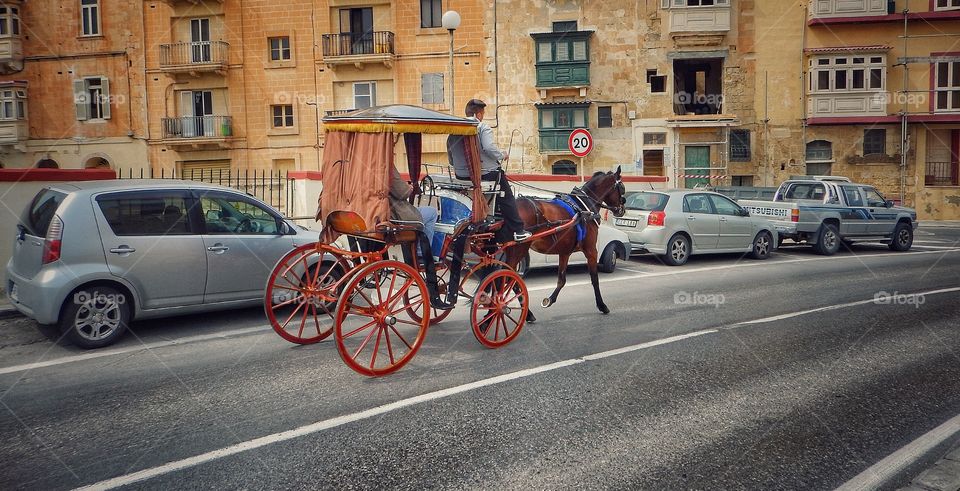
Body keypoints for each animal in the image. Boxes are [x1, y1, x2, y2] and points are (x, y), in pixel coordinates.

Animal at [502, 165, 632, 320]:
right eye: (622, 188)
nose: (622, 210)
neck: (584, 208)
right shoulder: (591, 251)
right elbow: (595, 279)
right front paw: (602, 305)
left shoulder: (565, 252)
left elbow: (561, 279)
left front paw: (549, 299)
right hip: (520, 249)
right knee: (509, 279)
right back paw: (522, 312)